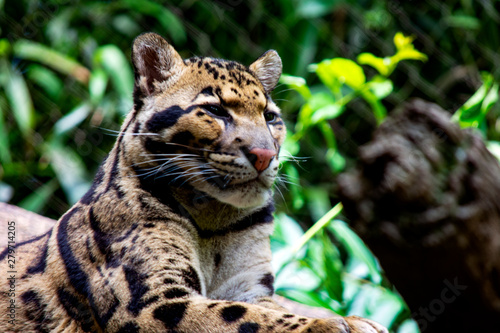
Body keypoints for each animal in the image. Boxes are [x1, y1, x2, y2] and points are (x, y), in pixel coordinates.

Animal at [0, 31, 386, 332]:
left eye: (270, 117)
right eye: (215, 111)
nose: (264, 155)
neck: (214, 222)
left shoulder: (250, 287)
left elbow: (264, 311)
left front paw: (353, 320)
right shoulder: (151, 303)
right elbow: (244, 318)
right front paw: (331, 324)